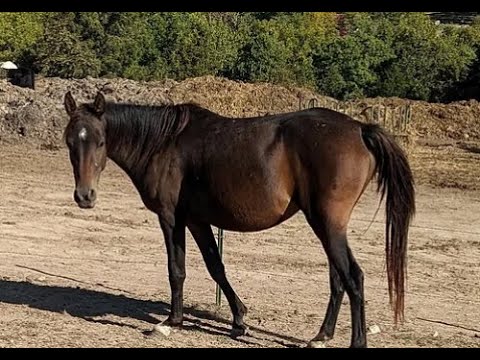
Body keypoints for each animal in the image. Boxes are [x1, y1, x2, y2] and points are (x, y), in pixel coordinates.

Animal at [62, 91, 414, 348]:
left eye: (100, 141)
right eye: (70, 142)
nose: (85, 196)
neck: (164, 143)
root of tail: (360, 129)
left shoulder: (171, 218)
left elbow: (177, 269)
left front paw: (171, 323)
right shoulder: (197, 221)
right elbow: (216, 267)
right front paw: (239, 320)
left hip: (328, 224)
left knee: (353, 277)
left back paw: (355, 341)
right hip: (327, 226)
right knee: (338, 278)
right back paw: (321, 336)